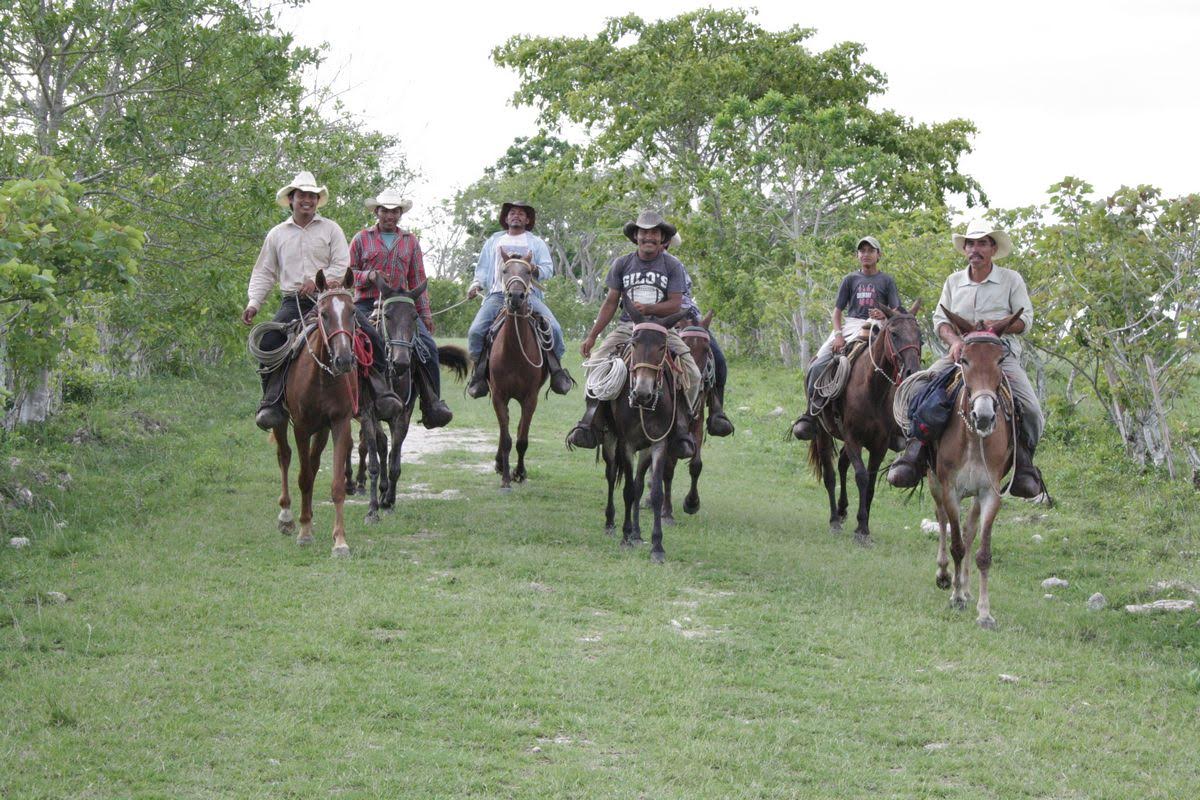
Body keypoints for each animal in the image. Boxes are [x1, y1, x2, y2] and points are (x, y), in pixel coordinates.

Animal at [273, 268, 360, 556]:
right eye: (324, 314)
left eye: (352, 311)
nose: (344, 360)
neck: (321, 377)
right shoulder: (300, 426)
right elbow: (303, 478)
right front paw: (304, 532)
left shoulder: (339, 423)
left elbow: (335, 485)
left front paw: (340, 541)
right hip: (281, 423)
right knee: (285, 457)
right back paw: (287, 516)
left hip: (321, 430)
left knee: (312, 463)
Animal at [806, 303, 926, 546]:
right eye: (894, 333)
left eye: (920, 336)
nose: (912, 371)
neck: (873, 389)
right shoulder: (853, 438)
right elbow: (861, 477)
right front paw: (861, 528)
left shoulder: (879, 444)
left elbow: (870, 483)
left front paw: (865, 526)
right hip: (824, 434)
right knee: (830, 474)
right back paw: (834, 519)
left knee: (842, 464)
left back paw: (842, 510)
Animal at [926, 309, 1022, 628]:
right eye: (965, 359)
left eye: (1000, 360)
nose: (984, 416)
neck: (972, 437)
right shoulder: (950, 489)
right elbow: (955, 543)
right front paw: (955, 597)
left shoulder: (990, 494)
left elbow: (981, 552)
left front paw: (984, 611)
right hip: (934, 483)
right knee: (942, 519)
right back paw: (945, 576)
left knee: (969, 529)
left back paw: (965, 587)